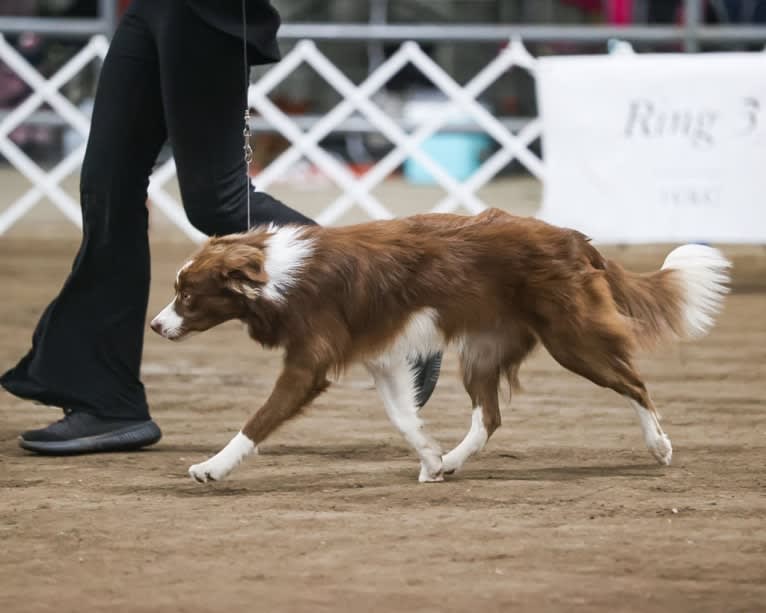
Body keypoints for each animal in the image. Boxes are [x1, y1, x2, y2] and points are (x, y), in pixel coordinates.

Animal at [150, 210, 732, 482]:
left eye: (187, 295)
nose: (155, 326)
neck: (274, 274)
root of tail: (575, 239)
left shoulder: (311, 363)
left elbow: (258, 420)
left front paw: (212, 467)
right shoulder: (382, 357)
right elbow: (404, 417)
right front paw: (430, 456)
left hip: (572, 339)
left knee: (633, 381)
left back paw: (659, 447)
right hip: (484, 348)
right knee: (489, 416)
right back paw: (452, 460)